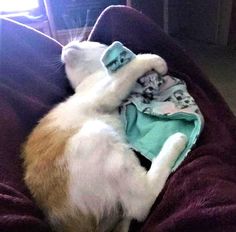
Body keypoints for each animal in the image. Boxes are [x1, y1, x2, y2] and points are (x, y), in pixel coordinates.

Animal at [22, 40, 188, 231]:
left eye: (86, 41)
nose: (67, 45)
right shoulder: (105, 92)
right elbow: (132, 66)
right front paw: (155, 61)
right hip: (97, 135)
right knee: (142, 203)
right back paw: (176, 141)